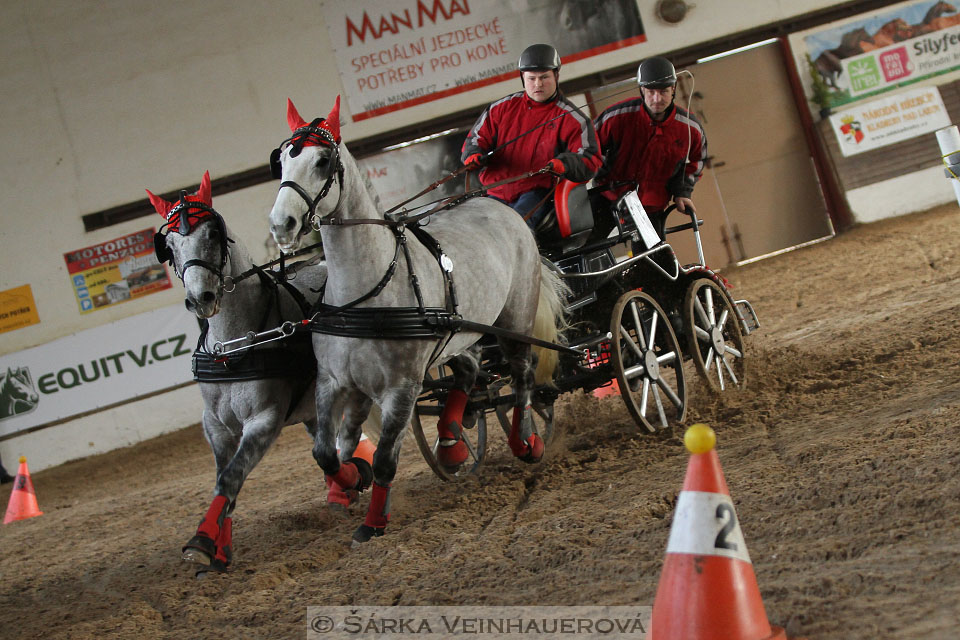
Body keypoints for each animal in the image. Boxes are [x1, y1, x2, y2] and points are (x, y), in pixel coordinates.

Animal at [266, 97, 568, 544]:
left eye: (322, 161)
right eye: (283, 159)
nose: (281, 224)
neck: (367, 293)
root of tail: (494, 203)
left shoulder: (402, 387)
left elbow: (386, 458)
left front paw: (373, 523)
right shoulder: (335, 381)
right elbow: (327, 451)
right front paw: (353, 477)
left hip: (514, 318)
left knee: (522, 377)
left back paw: (525, 443)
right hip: (461, 332)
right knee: (471, 371)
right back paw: (452, 442)